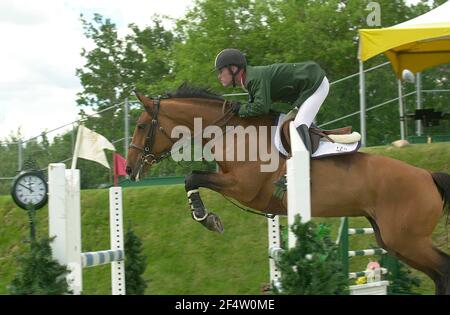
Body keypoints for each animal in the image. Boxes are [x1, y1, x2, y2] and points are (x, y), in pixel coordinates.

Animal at [125, 85, 450, 296]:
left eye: (140, 126)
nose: (128, 170)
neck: (232, 133)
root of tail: (427, 176)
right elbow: (192, 178)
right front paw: (207, 217)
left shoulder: (242, 187)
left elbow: (192, 177)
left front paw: (207, 218)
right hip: (393, 241)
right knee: (438, 274)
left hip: (406, 239)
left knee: (443, 269)